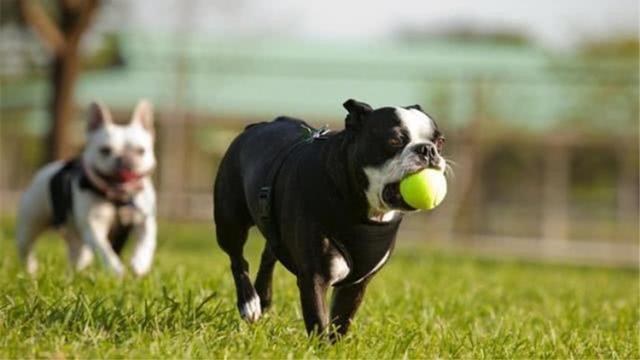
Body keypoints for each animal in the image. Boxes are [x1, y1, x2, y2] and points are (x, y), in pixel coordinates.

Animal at [16, 100, 158, 278]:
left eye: (141, 151)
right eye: (105, 150)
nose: (125, 159)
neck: (117, 197)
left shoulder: (145, 219)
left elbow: (145, 242)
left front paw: (140, 264)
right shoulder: (93, 227)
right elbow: (104, 250)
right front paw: (115, 270)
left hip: (76, 238)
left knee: (79, 255)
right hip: (31, 223)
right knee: (26, 248)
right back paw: (31, 269)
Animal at [214, 99, 444, 338]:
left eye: (440, 141)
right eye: (395, 140)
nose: (428, 149)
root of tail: (256, 126)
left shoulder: (356, 284)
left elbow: (340, 323)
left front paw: (335, 344)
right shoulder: (314, 277)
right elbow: (319, 321)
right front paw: (319, 345)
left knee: (269, 253)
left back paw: (263, 297)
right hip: (230, 220)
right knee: (237, 259)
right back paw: (249, 302)